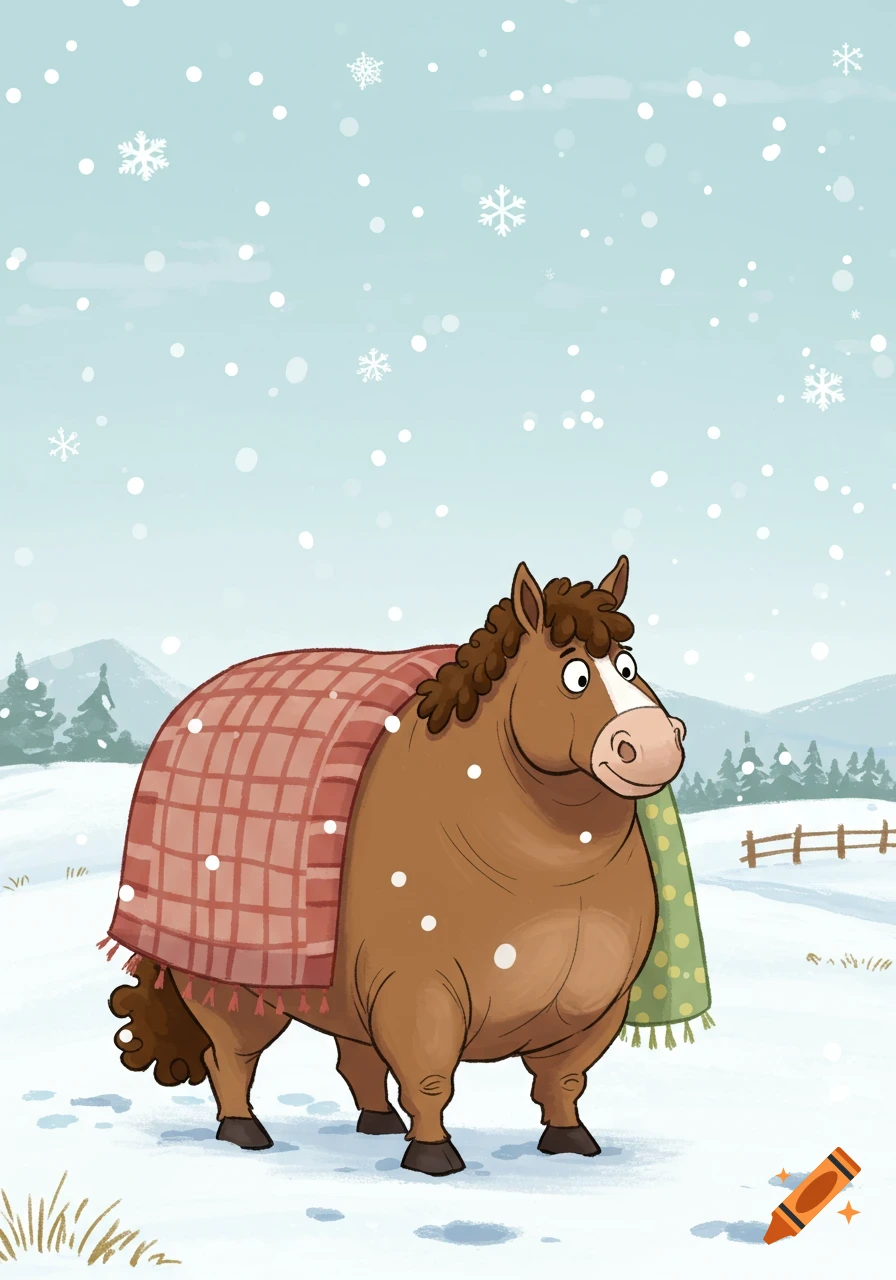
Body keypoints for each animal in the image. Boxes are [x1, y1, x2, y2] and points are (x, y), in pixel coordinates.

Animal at [107, 555, 686, 1177]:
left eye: (628, 665)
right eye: (575, 675)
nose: (654, 744)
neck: (550, 869)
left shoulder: (596, 1003)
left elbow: (565, 1079)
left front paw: (571, 1140)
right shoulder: (417, 986)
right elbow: (430, 1077)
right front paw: (433, 1156)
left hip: (346, 993)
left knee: (355, 1058)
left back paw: (377, 1123)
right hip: (223, 981)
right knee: (232, 1054)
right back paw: (244, 1131)